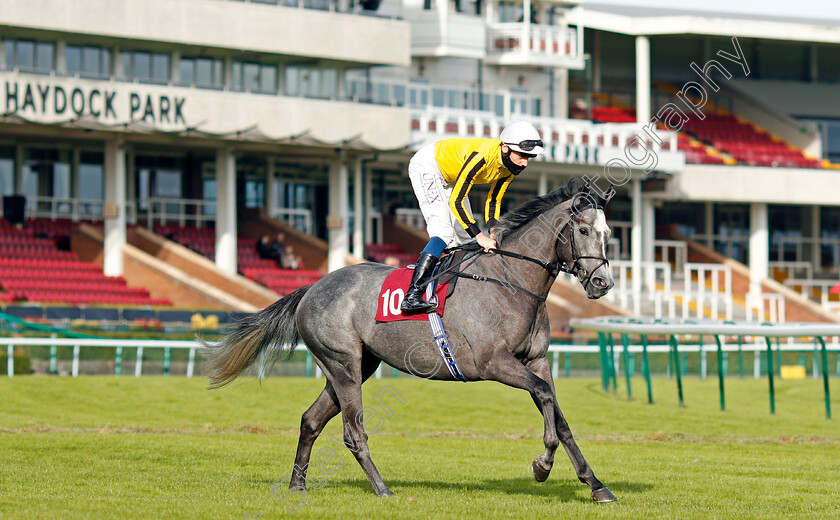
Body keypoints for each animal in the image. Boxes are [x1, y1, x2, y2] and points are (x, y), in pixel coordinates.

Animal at [201, 180, 620, 504]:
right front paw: (542, 465)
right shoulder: (494, 363)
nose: (603, 283)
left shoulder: (536, 361)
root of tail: (312, 287)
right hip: (343, 364)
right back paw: (383, 489)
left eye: (609, 235)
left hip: (354, 366)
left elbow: (559, 417)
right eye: (584, 231)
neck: (510, 280)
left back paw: (297, 485)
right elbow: (546, 399)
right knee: (353, 432)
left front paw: (596, 485)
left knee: (310, 420)